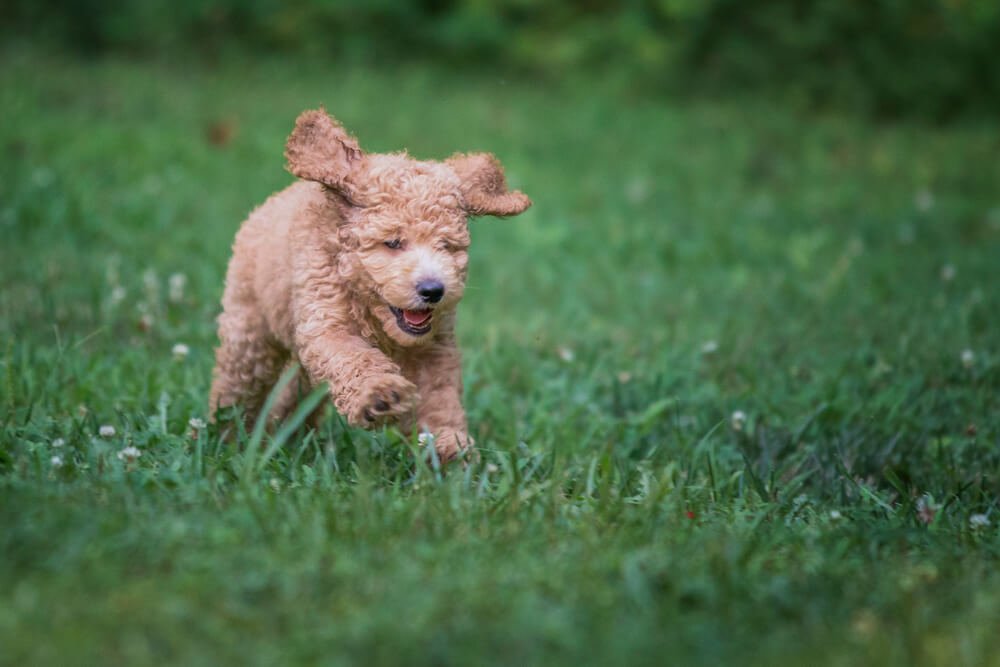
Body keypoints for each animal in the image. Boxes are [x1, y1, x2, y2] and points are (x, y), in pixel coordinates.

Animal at [209, 111, 532, 464]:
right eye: (392, 242)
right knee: (236, 386)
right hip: (249, 331)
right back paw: (221, 435)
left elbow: (439, 396)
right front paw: (380, 395)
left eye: (446, 246)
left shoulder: (434, 348)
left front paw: (449, 446)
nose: (433, 290)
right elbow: (353, 357)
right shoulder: (325, 321)